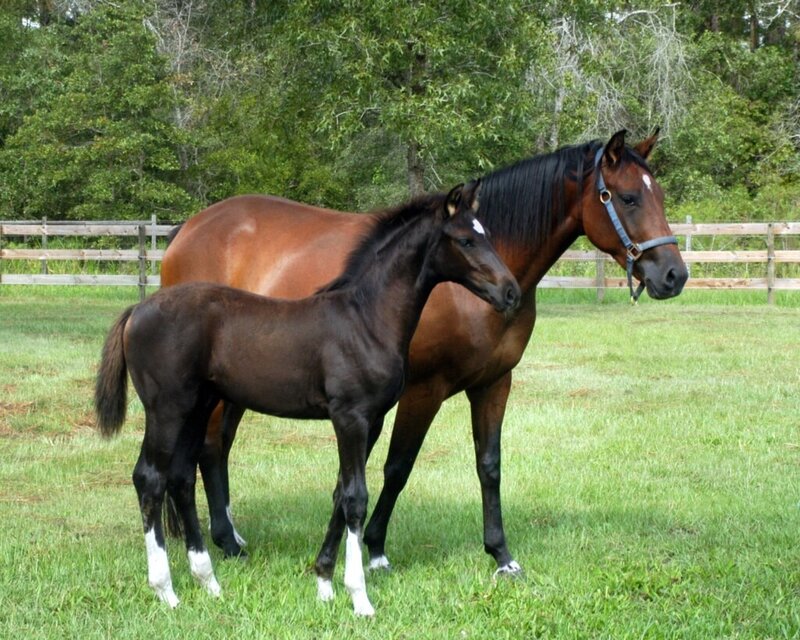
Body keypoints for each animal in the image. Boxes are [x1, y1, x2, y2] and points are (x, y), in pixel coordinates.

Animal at [94, 183, 521, 615]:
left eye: (487, 233)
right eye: (466, 240)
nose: (510, 292)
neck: (365, 318)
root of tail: (137, 310)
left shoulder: (373, 420)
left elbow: (340, 494)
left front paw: (324, 583)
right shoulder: (350, 417)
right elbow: (355, 498)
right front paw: (358, 596)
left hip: (197, 407)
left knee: (181, 476)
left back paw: (208, 580)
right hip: (167, 409)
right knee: (150, 477)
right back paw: (167, 589)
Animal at [160, 129, 688, 578]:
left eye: (659, 196)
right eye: (628, 197)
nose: (674, 275)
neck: (461, 284)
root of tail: (187, 230)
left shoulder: (494, 384)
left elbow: (489, 465)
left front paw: (501, 555)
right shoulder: (422, 389)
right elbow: (398, 467)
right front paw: (374, 550)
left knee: (216, 448)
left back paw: (223, 538)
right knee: (209, 447)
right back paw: (222, 543)